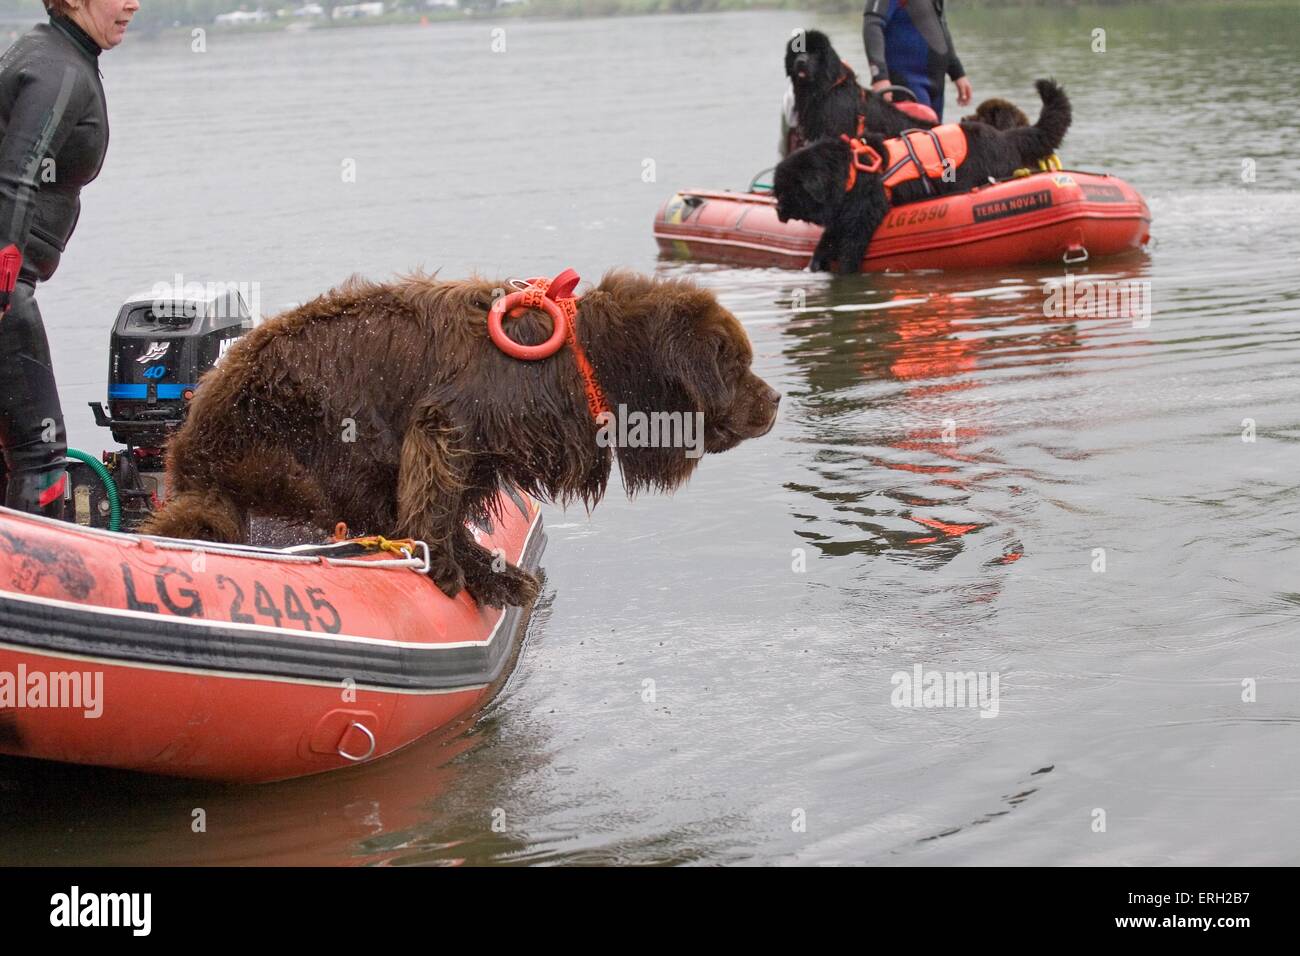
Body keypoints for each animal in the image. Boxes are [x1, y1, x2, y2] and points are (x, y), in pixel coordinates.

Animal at [139, 273, 780, 608]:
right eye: (735, 364)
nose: (776, 399)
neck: (582, 362)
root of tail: (190, 451)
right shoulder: (447, 425)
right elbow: (434, 505)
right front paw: (460, 572)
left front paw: (492, 572)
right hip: (305, 432)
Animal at [774, 79, 1071, 274]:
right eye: (778, 191)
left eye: (786, 191)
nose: (777, 210)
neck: (849, 170)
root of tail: (1004, 137)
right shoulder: (844, 212)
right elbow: (830, 236)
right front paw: (815, 263)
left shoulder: (866, 210)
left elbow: (851, 245)